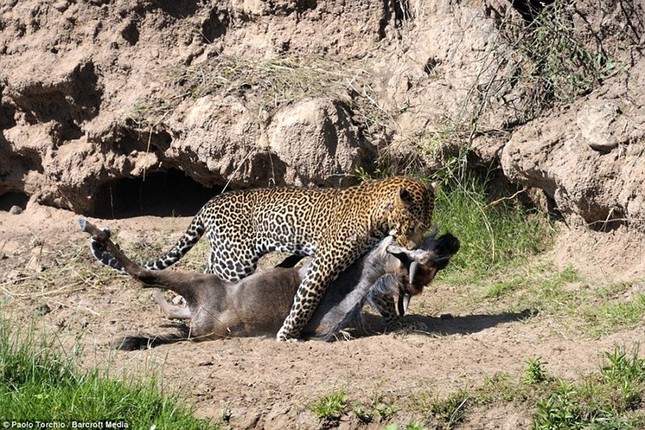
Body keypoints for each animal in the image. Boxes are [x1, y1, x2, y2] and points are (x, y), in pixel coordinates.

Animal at [89, 176, 432, 340]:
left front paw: (396, 321)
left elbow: (379, 292)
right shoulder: (322, 266)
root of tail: (209, 203)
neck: (378, 216)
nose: (416, 246)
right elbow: (304, 302)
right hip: (235, 260)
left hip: (222, 255)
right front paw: (286, 335)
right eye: (412, 227)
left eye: (425, 227)